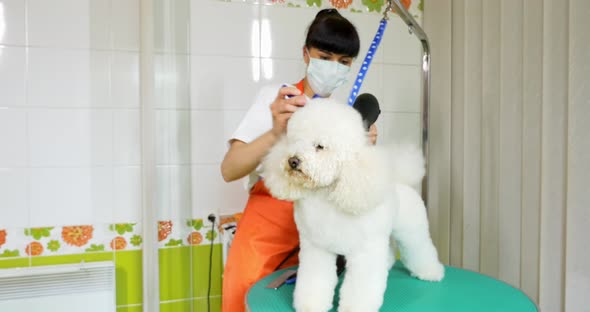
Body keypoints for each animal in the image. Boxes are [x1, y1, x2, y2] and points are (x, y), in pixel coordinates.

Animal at [262, 98, 444, 312]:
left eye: (320, 146)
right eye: (295, 142)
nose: (293, 161)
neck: (328, 196)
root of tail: (401, 180)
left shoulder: (365, 250)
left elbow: (361, 287)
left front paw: (354, 307)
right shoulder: (317, 247)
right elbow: (315, 279)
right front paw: (311, 304)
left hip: (410, 231)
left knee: (420, 248)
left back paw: (431, 272)